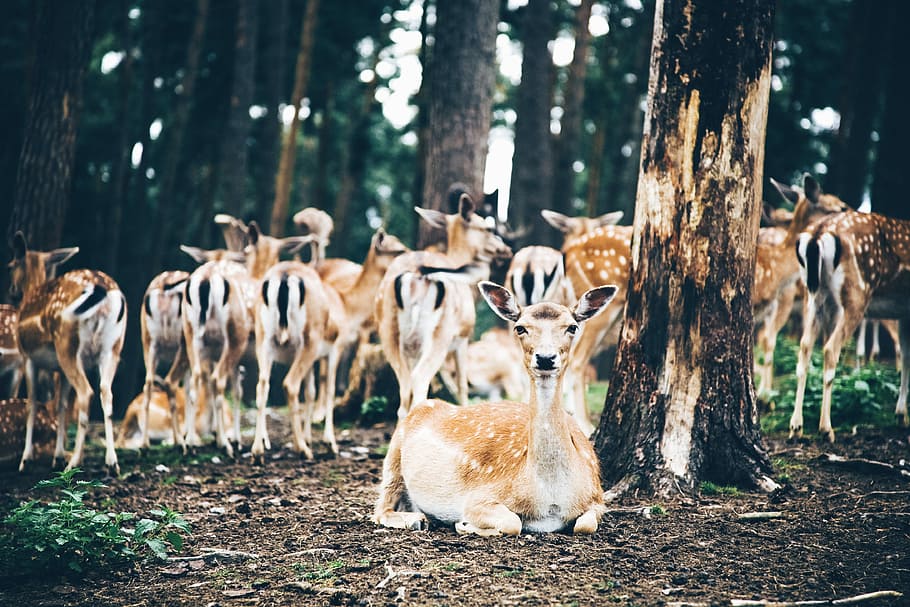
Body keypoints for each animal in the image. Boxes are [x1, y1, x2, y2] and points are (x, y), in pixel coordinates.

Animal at [8, 232, 127, 473]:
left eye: (10, 265)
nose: (11, 291)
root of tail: (103, 290)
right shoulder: (58, 370)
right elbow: (60, 405)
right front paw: (58, 456)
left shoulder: (27, 357)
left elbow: (32, 404)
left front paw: (26, 460)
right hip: (112, 347)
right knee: (105, 392)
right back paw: (112, 463)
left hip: (67, 343)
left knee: (86, 393)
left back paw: (74, 463)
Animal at [373, 281, 616, 535]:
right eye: (520, 328)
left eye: (572, 327)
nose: (545, 358)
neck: (551, 500)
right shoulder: (479, 496)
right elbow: (513, 523)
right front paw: (464, 524)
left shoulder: (597, 497)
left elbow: (586, 525)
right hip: (393, 454)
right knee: (381, 506)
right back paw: (415, 519)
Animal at [375, 193, 513, 418]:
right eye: (488, 228)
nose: (506, 250)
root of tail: (418, 272)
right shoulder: (463, 337)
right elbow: (462, 385)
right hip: (441, 332)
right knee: (419, 379)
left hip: (388, 328)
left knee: (404, 389)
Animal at [793, 206, 910, 441]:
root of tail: (818, 233)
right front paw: (902, 416)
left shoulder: (903, 312)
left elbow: (906, 355)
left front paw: (902, 416)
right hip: (857, 294)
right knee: (830, 348)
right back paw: (826, 428)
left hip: (813, 295)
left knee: (805, 346)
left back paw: (796, 427)